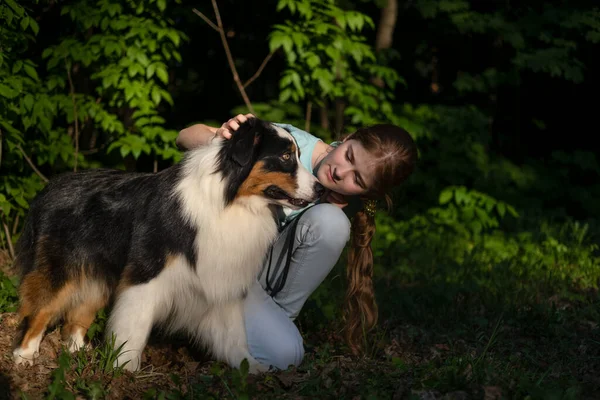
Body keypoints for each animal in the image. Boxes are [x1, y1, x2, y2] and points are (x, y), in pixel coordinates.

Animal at [11, 118, 324, 372]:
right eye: (285, 156)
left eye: (297, 154)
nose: (321, 189)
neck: (232, 201)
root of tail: (53, 185)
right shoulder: (145, 276)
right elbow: (134, 327)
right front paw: (124, 370)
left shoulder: (224, 278)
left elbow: (234, 332)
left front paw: (248, 367)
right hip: (64, 267)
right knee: (41, 310)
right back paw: (25, 355)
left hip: (98, 272)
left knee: (79, 314)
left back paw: (78, 352)